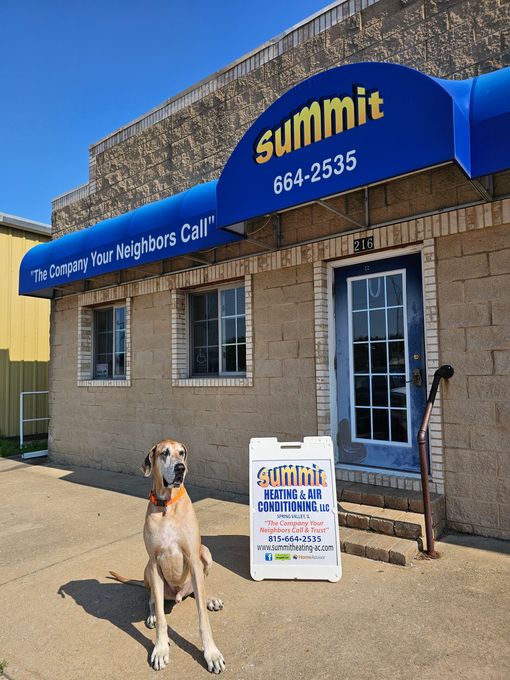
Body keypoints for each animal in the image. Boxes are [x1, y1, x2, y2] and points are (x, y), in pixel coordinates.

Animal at [110, 438, 224, 672]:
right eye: (164, 453)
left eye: (182, 453)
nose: (180, 468)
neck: (167, 506)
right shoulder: (154, 562)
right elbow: (163, 620)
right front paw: (161, 649)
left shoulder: (194, 559)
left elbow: (202, 617)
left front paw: (211, 653)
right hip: (147, 569)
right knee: (153, 600)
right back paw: (153, 614)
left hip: (205, 553)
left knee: (199, 590)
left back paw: (210, 599)